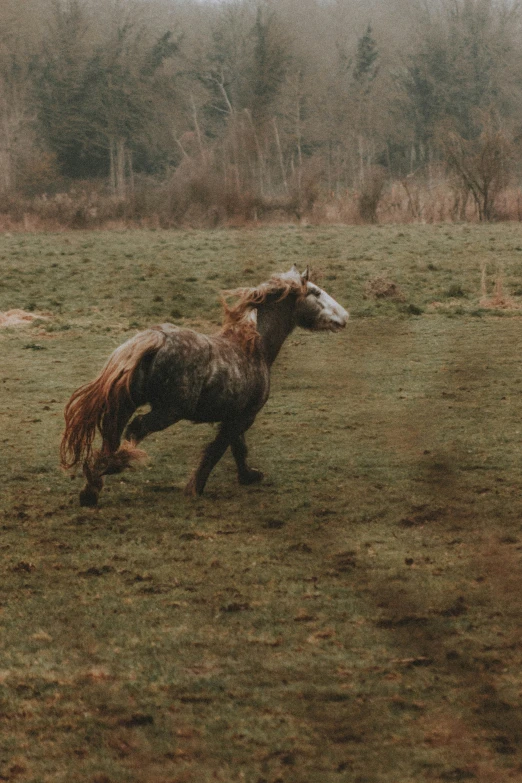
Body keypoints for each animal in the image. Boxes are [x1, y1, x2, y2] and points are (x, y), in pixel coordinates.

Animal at [60, 264, 346, 508]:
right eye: (316, 292)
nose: (345, 316)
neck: (254, 347)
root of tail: (156, 338)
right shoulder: (245, 415)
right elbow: (218, 449)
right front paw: (195, 487)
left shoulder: (234, 415)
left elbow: (238, 447)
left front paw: (249, 476)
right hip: (168, 412)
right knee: (134, 430)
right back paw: (115, 466)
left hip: (125, 404)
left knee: (111, 436)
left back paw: (91, 490)